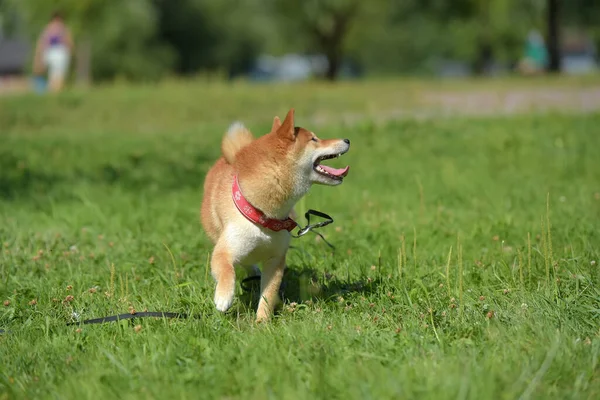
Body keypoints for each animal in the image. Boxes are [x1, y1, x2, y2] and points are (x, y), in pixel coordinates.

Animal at [202, 109, 352, 322]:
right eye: (314, 139)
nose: (347, 139)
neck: (264, 215)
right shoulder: (226, 248)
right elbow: (226, 268)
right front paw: (223, 297)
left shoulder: (276, 260)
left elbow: (267, 295)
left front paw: (262, 322)